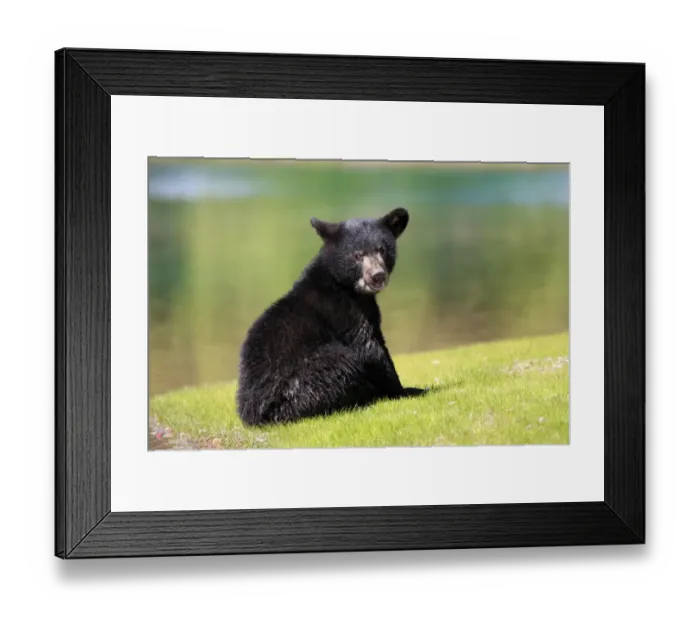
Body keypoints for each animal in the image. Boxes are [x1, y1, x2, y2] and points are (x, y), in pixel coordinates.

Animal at [236, 207, 427, 427]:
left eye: (382, 250)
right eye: (357, 255)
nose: (377, 275)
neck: (347, 288)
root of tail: (253, 416)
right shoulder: (342, 311)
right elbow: (369, 348)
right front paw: (407, 390)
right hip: (304, 382)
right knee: (343, 361)